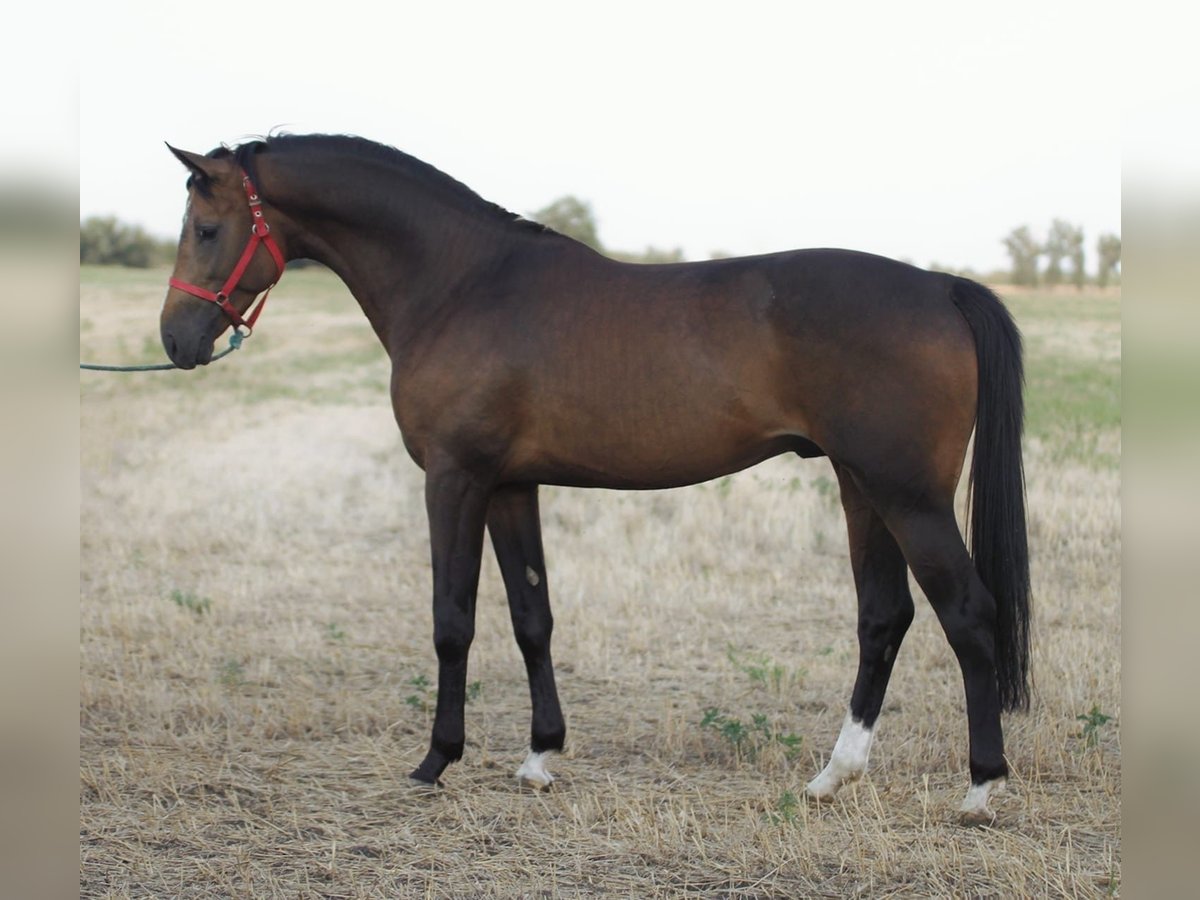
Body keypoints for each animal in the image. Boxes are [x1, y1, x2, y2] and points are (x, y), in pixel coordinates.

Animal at [154, 132, 1027, 825]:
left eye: (207, 227)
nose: (176, 339)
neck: (461, 283)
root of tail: (941, 286)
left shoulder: (455, 479)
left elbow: (451, 620)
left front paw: (436, 761)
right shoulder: (511, 487)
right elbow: (531, 616)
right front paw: (540, 756)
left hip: (907, 495)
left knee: (968, 612)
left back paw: (980, 789)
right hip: (860, 486)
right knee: (884, 617)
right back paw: (832, 778)